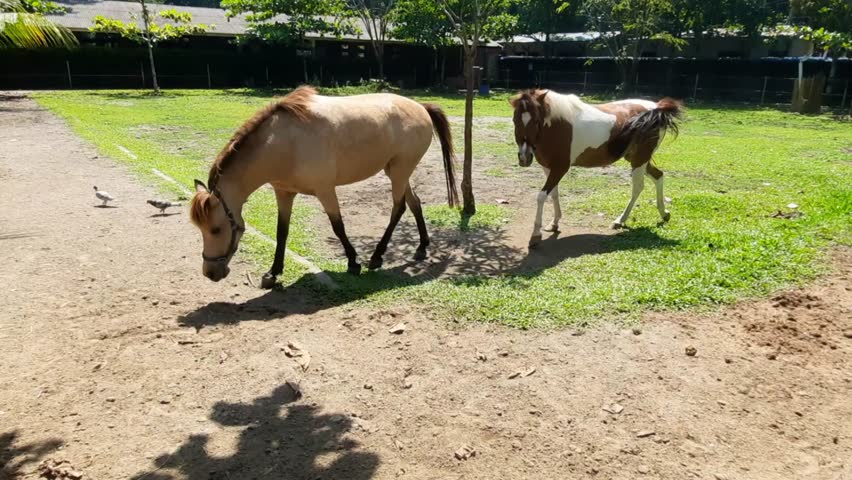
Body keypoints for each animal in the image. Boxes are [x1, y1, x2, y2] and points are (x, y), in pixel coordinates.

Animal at [189, 86, 459, 288]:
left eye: (215, 229)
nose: (210, 272)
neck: (283, 143)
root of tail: (421, 107)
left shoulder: (325, 190)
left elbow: (338, 226)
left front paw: (353, 262)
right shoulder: (284, 192)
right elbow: (282, 232)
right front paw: (273, 272)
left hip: (400, 171)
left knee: (399, 207)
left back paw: (376, 257)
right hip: (396, 171)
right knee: (415, 203)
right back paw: (422, 247)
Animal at [509, 89, 683, 247]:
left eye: (536, 121)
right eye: (515, 120)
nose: (524, 157)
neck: (557, 125)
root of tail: (656, 108)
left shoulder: (560, 168)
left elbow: (541, 196)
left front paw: (535, 235)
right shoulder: (548, 168)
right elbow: (554, 194)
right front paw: (554, 224)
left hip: (639, 160)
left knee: (638, 187)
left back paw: (620, 221)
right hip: (638, 159)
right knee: (658, 176)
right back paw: (664, 214)